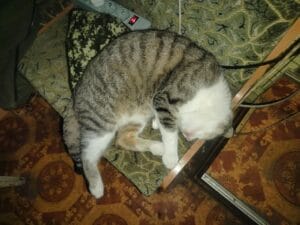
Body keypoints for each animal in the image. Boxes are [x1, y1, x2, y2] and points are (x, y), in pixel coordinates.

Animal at [63, 29, 233, 199]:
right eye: (202, 136)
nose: (188, 137)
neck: (207, 94)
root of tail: (76, 92)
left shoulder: (158, 104)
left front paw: (157, 125)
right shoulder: (164, 98)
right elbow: (170, 133)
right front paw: (171, 157)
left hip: (136, 117)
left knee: (122, 139)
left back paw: (157, 147)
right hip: (101, 122)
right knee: (87, 155)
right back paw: (96, 188)